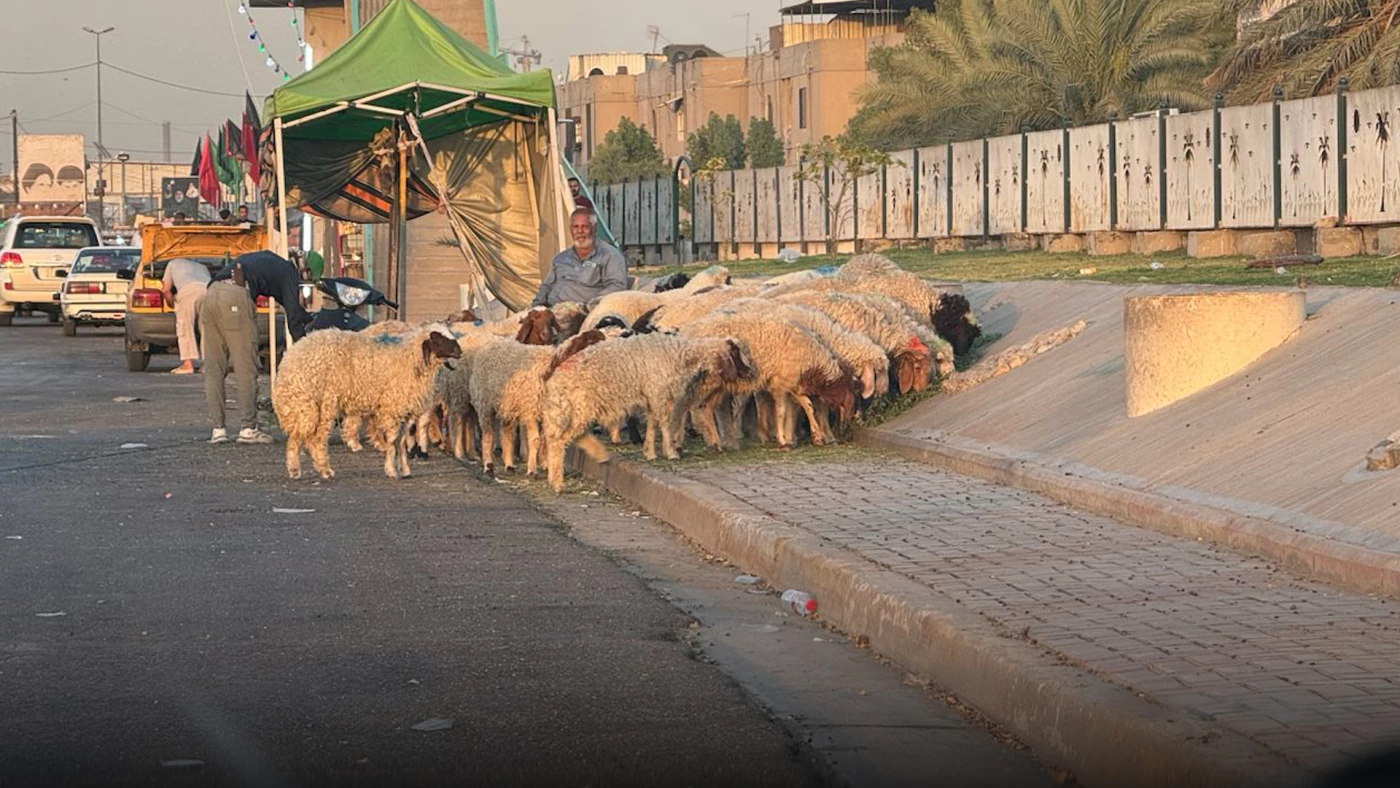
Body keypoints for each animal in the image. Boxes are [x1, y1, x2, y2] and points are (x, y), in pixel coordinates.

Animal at [540, 334, 756, 492]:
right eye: (736, 354)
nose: (751, 372)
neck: (680, 356)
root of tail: (556, 377)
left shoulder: (653, 397)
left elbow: (652, 426)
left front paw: (650, 452)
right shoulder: (660, 394)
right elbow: (666, 424)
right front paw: (671, 452)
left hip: (573, 409)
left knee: (567, 436)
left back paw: (596, 456)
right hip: (580, 407)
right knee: (560, 440)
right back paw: (558, 483)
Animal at [674, 313, 851, 450]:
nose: (846, 425)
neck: (815, 362)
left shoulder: (791, 383)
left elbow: (807, 405)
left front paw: (817, 436)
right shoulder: (780, 384)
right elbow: (781, 410)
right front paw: (783, 440)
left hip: (718, 386)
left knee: (706, 408)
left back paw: (716, 443)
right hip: (702, 383)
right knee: (687, 409)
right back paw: (680, 443)